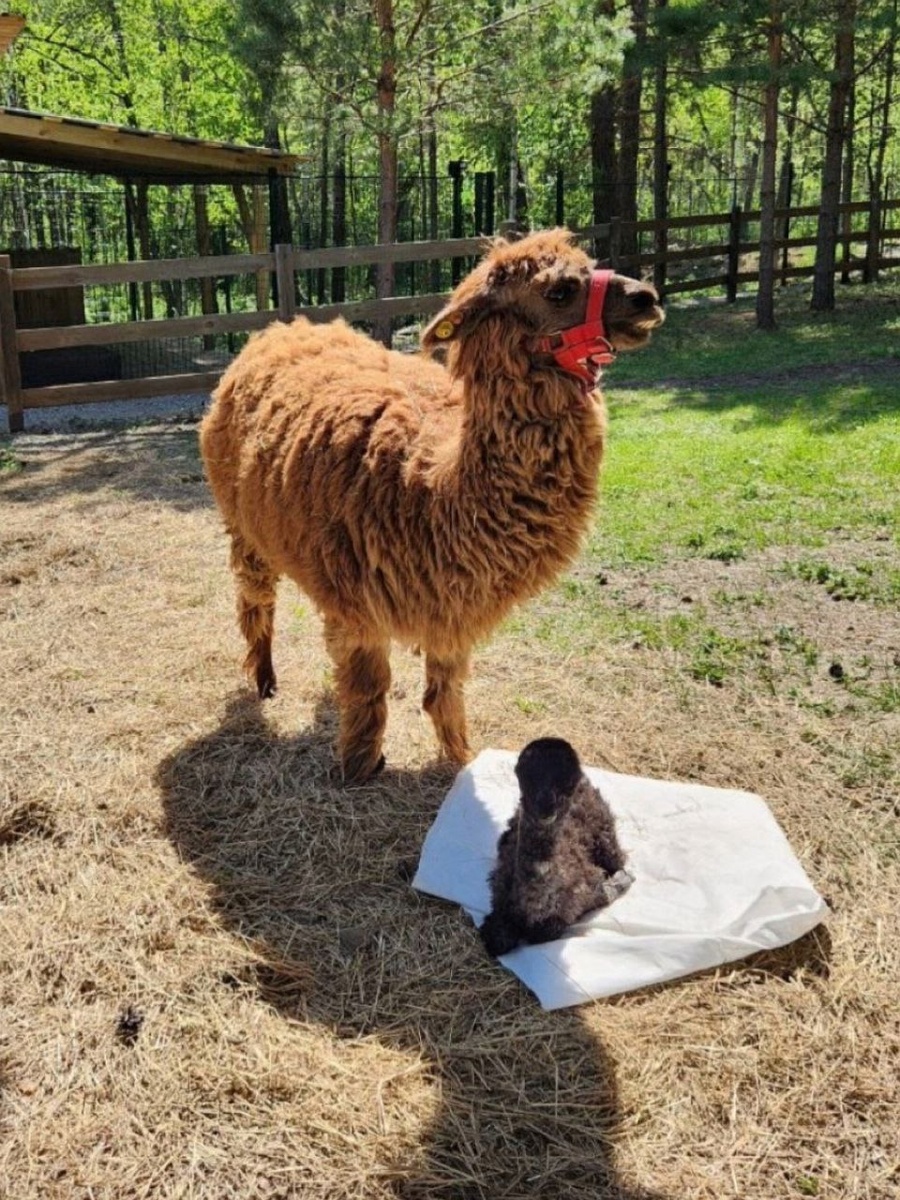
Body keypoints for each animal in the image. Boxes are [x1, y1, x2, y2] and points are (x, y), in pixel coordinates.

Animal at [200, 229, 664, 783]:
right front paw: (358, 768)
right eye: (559, 290)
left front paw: (459, 759)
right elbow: (369, 691)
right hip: (242, 526)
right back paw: (266, 681)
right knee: (255, 601)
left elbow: (444, 695)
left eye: (589, 265)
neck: (430, 488)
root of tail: (278, 329)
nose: (647, 298)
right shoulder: (360, 606)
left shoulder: (451, 606)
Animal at [480, 738, 632, 958]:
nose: (546, 808)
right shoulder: (499, 891)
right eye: (527, 779)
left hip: (607, 839)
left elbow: (546, 931)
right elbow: (497, 939)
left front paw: (617, 884)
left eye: (567, 784)